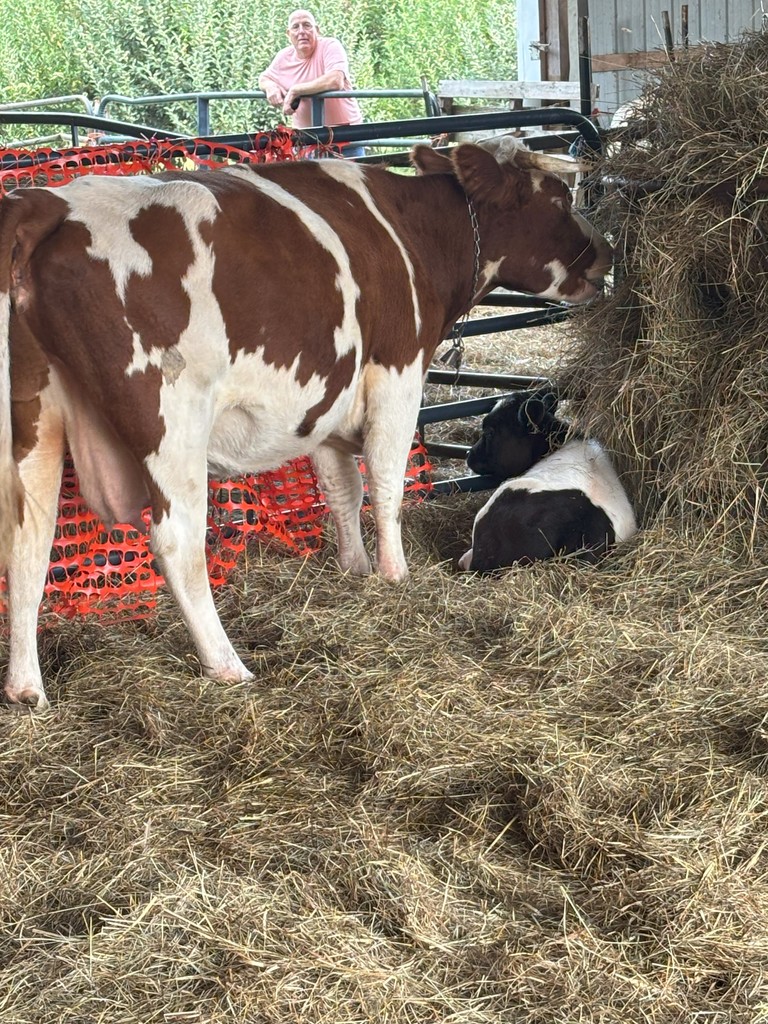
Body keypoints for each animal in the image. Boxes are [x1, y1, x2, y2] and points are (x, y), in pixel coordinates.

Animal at [0, 138, 613, 709]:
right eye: (560, 198)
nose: (606, 252)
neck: (414, 231)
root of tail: (46, 202)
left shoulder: (327, 404)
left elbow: (342, 490)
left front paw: (355, 569)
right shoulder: (398, 372)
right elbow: (386, 484)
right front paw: (395, 575)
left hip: (33, 425)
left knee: (28, 546)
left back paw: (26, 688)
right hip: (170, 419)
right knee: (176, 541)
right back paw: (226, 664)